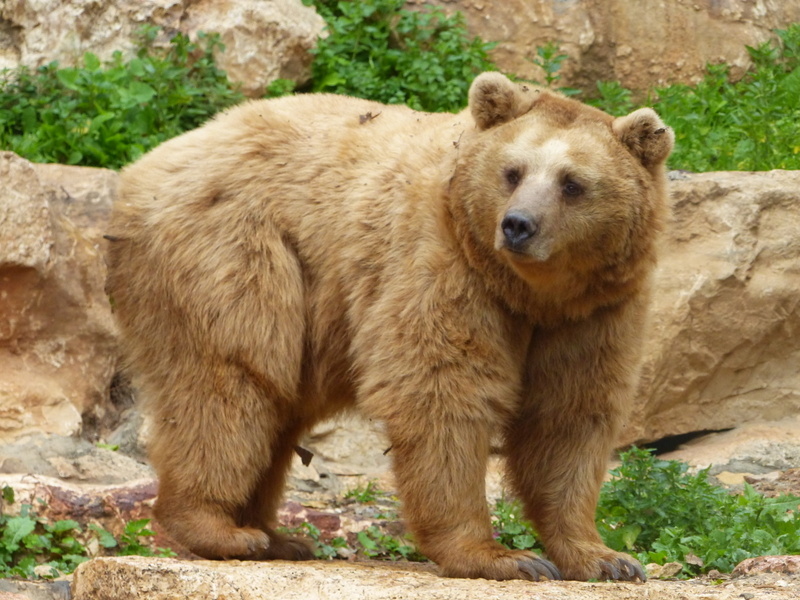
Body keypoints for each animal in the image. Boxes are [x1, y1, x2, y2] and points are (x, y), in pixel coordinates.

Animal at [104, 70, 668, 580]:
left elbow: (569, 413)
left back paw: (275, 536)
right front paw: (504, 558)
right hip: (235, 252)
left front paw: (606, 558)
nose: (517, 225)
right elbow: (442, 389)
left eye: (573, 184)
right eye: (512, 171)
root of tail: (141, 167)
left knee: (272, 407)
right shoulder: (443, 265)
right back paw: (224, 530)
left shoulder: (597, 310)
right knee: (230, 382)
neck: (529, 292)